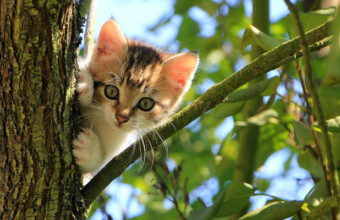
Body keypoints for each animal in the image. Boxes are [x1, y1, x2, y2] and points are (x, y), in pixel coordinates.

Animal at [72, 19, 199, 174]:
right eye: (111, 91)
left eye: (146, 104)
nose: (121, 117)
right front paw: (84, 81)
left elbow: (94, 170)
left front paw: (89, 150)